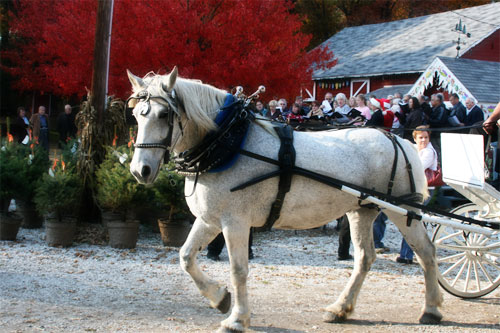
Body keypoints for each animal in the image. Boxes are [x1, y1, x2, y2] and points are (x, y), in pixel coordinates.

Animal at [127, 67, 444, 330]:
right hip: (362, 210)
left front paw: (237, 319)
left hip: (403, 210)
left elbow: (238, 269)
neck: (228, 143)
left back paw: (431, 310)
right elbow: (186, 257)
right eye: (137, 115)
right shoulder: (209, 220)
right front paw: (219, 298)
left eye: (163, 115)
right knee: (366, 258)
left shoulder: (235, 222)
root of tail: (399, 141)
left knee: (426, 252)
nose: (140, 170)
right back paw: (340, 309)